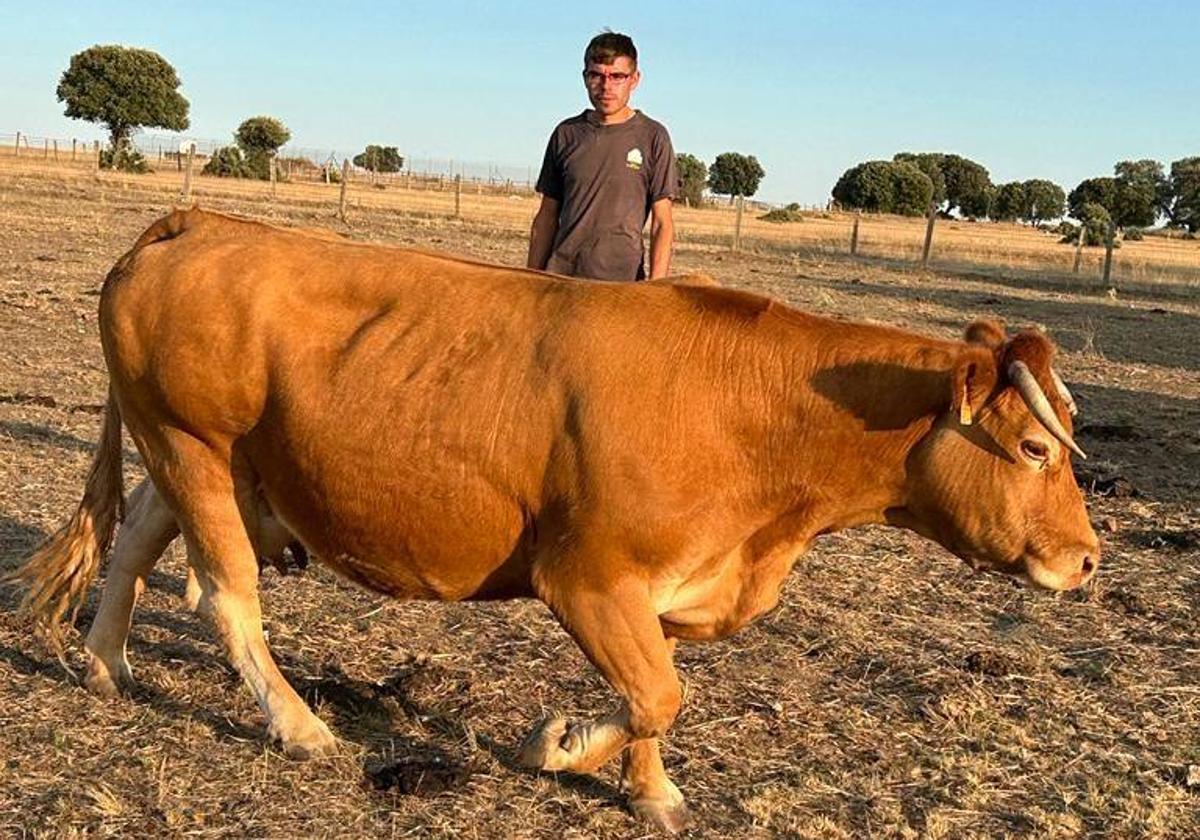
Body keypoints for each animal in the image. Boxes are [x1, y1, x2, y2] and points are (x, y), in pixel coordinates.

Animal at [11, 208, 1099, 835]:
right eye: (1034, 449)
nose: (1087, 561)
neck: (755, 416)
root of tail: (197, 221)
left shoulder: (664, 585)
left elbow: (657, 693)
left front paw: (647, 789)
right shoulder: (583, 576)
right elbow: (655, 694)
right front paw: (559, 743)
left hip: (208, 460)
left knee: (136, 541)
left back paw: (107, 665)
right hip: (192, 442)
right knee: (223, 593)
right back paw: (300, 727)